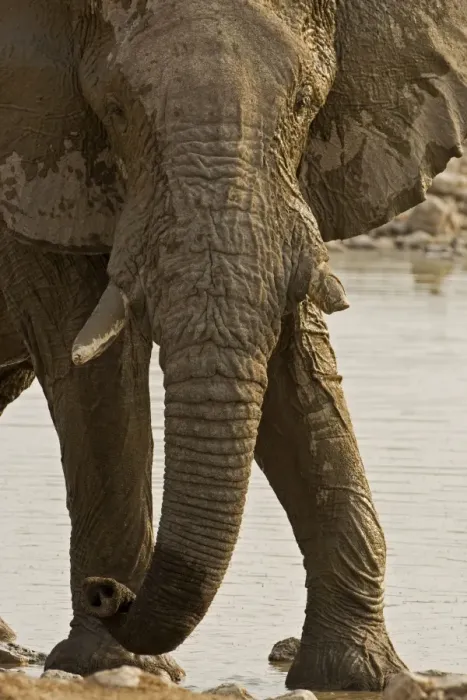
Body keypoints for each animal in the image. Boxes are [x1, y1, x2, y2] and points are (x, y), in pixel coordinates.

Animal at [0, 0, 466, 690]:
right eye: (115, 109)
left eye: (305, 104)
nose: (108, 593)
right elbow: (93, 374)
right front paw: (112, 667)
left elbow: (297, 381)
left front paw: (357, 676)